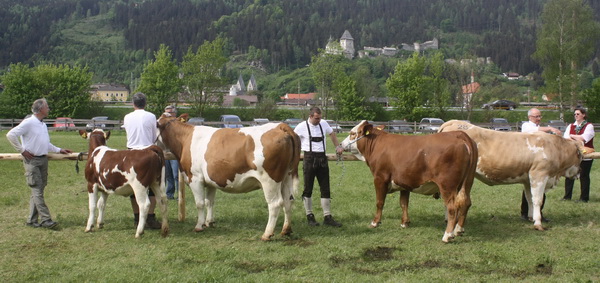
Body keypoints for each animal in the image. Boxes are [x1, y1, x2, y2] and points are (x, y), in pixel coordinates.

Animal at [157, 114, 302, 241]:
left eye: (156, 123)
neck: (185, 139)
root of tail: (280, 126)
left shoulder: (195, 178)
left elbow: (200, 203)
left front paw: (199, 226)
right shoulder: (210, 181)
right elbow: (209, 201)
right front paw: (209, 222)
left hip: (270, 180)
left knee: (275, 204)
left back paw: (267, 234)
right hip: (286, 177)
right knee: (289, 201)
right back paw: (286, 230)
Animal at [342, 121, 478, 243]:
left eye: (352, 133)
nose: (341, 144)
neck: (378, 145)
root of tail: (459, 134)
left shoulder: (380, 178)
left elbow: (380, 202)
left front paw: (375, 222)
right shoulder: (404, 183)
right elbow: (404, 203)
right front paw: (404, 223)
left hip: (447, 185)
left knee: (452, 207)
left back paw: (447, 235)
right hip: (468, 182)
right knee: (466, 202)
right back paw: (458, 230)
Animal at [436, 121, 580, 232]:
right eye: (580, 157)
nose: (579, 174)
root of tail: (455, 122)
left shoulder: (527, 180)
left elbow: (529, 199)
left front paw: (531, 218)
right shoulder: (539, 174)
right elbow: (538, 200)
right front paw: (538, 223)